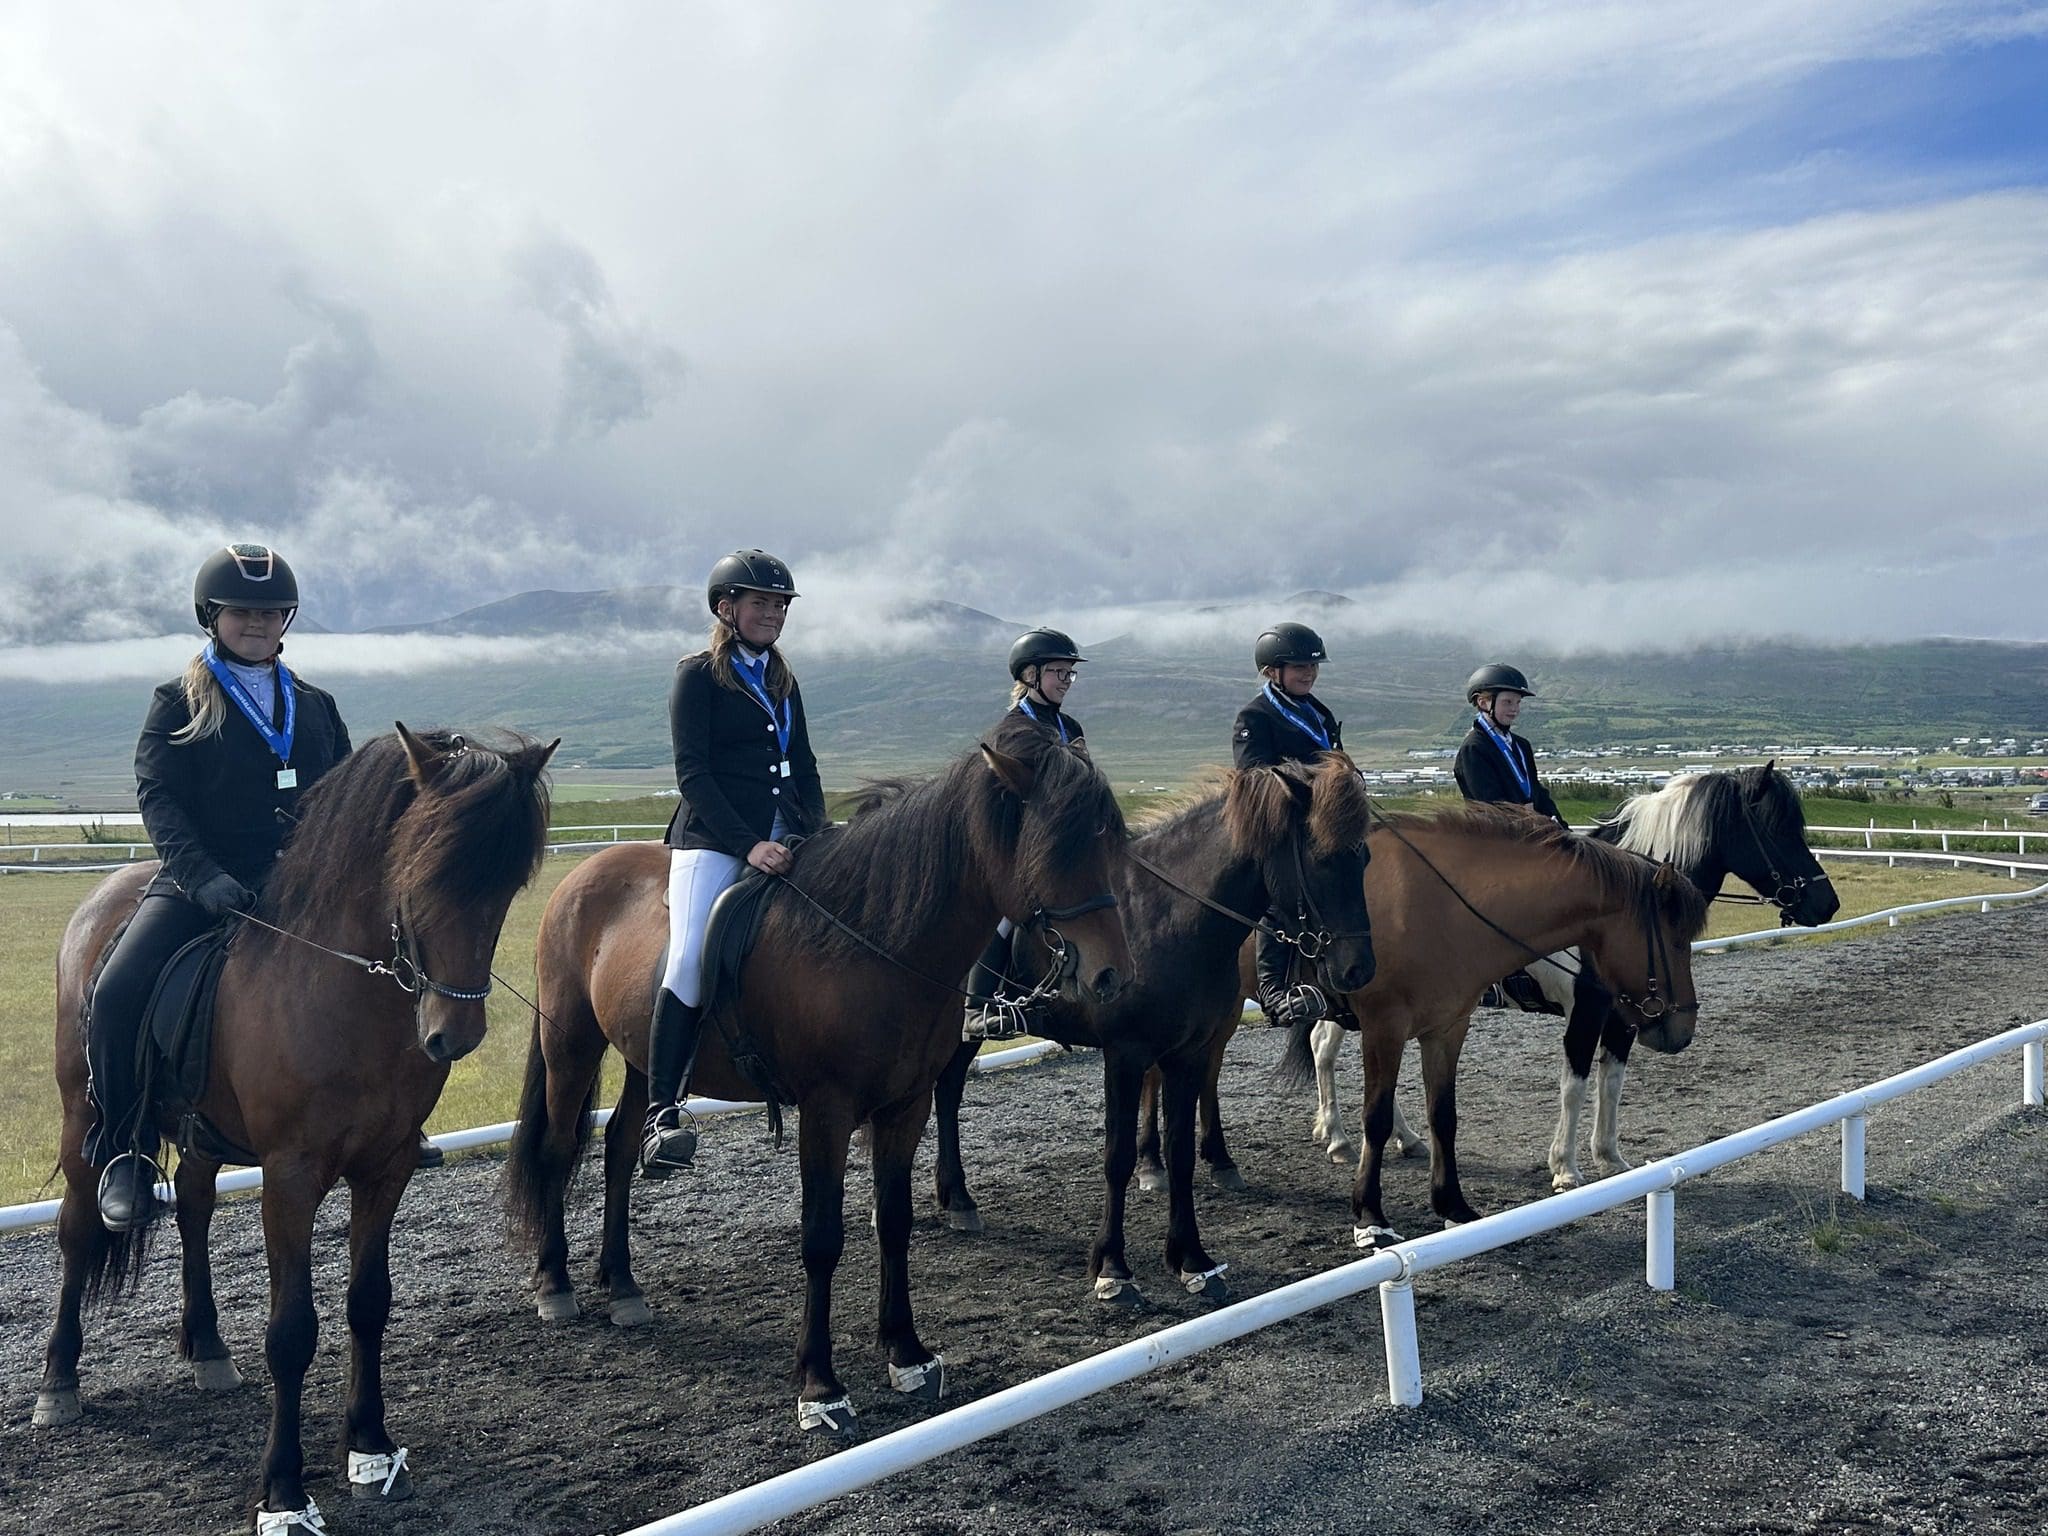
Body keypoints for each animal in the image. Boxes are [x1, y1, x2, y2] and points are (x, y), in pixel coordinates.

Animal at [39, 729, 552, 1531]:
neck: (341, 993)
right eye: (421, 869)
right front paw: (283, 1491)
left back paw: (207, 1347)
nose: (452, 1036)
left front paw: (370, 1449)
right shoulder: (290, 1177)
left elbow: (369, 1303)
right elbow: (292, 1332)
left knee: (193, 1207)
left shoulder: (386, 1167)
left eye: (505, 886)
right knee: (78, 1227)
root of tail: (107, 895)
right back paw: (58, 1382)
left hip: (203, 1135)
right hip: (80, 1118)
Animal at [501, 729, 1130, 1441]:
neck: (876, 941)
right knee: (557, 1151)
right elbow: (822, 1237)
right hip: (573, 1042)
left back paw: (623, 1285)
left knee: (618, 1147)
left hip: (640, 1058)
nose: (1111, 977)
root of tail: (583, 874)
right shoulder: (825, 1112)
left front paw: (907, 1354)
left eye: (1109, 840)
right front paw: (821, 1388)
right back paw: (556, 1286)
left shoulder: (906, 1105)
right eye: (1056, 844)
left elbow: (894, 1220)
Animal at [929, 757, 1376, 1310]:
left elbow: (1181, 1154)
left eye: (1365, 858)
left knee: (947, 1092)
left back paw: (955, 1198)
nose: (1359, 970)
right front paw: (1113, 1269)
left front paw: (1193, 1260)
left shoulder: (1188, 1053)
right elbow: (1116, 1157)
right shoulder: (1126, 1055)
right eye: (1321, 859)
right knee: (946, 1092)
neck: (1170, 918)